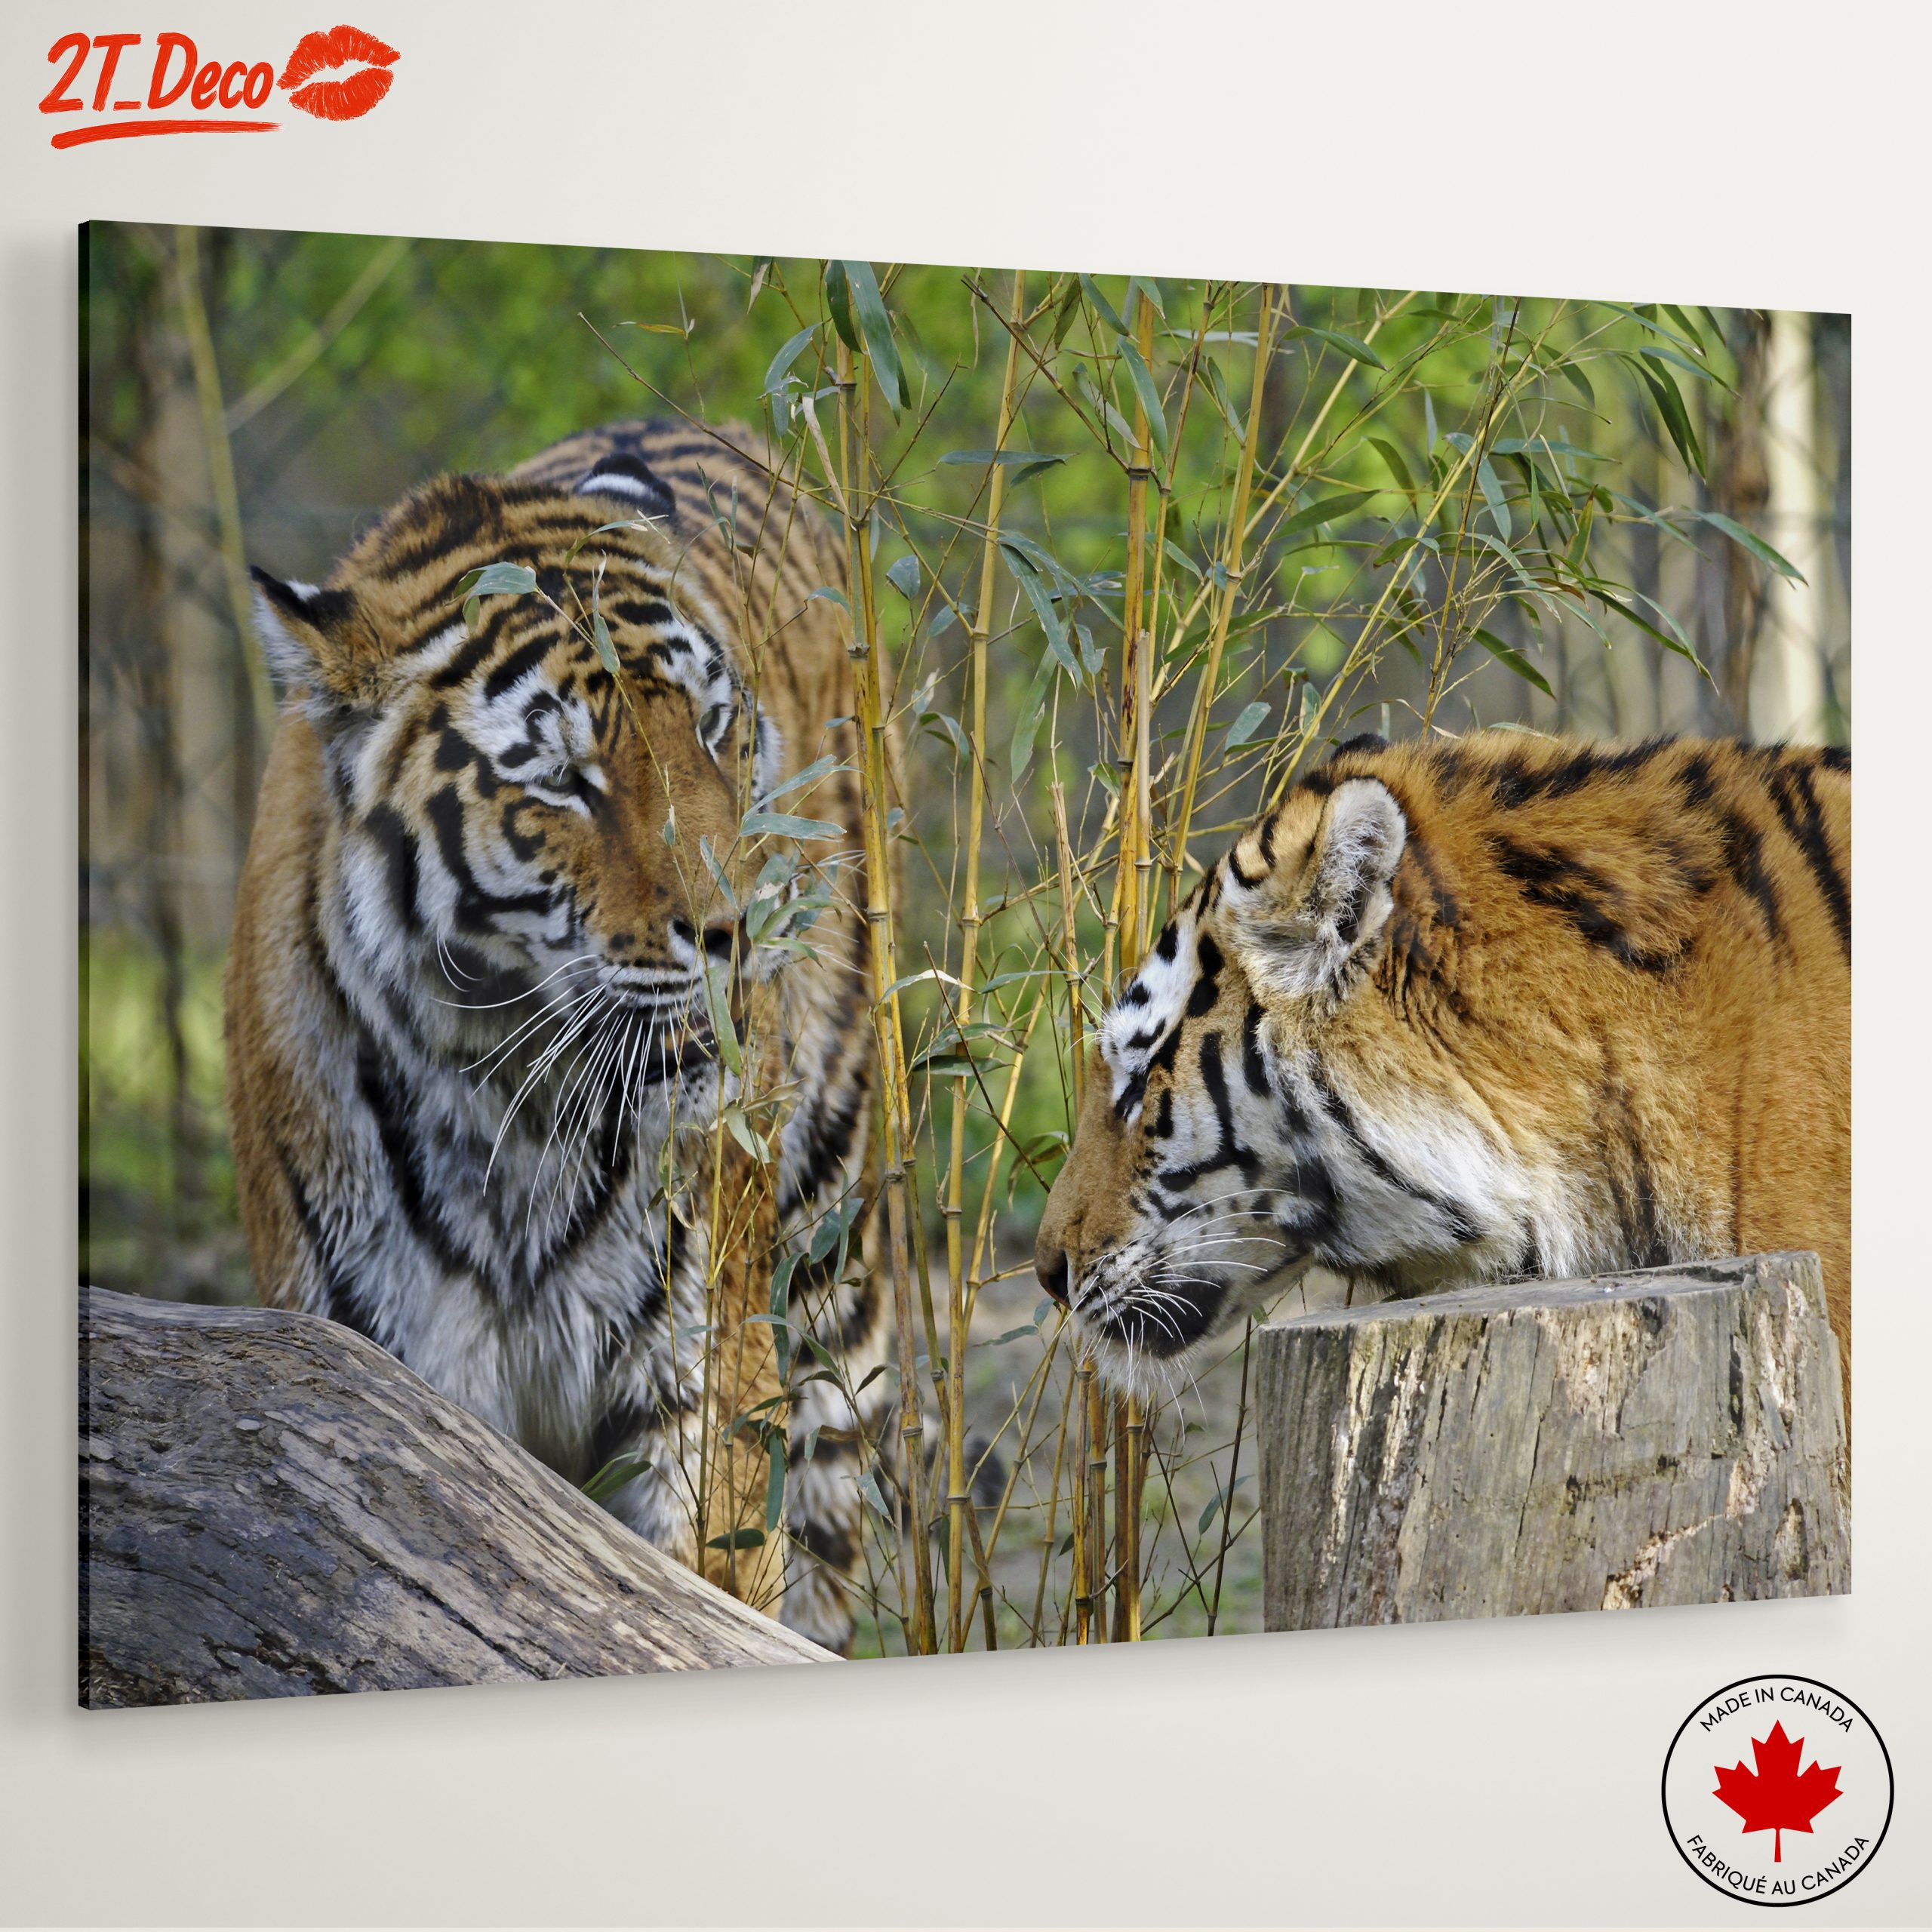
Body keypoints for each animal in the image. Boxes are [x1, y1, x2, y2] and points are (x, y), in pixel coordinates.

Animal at [226, 418, 895, 1655]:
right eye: (566, 780)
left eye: (714, 727)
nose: (741, 929)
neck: (511, 1095)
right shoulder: (380, 1376)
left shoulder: (704, 1387)